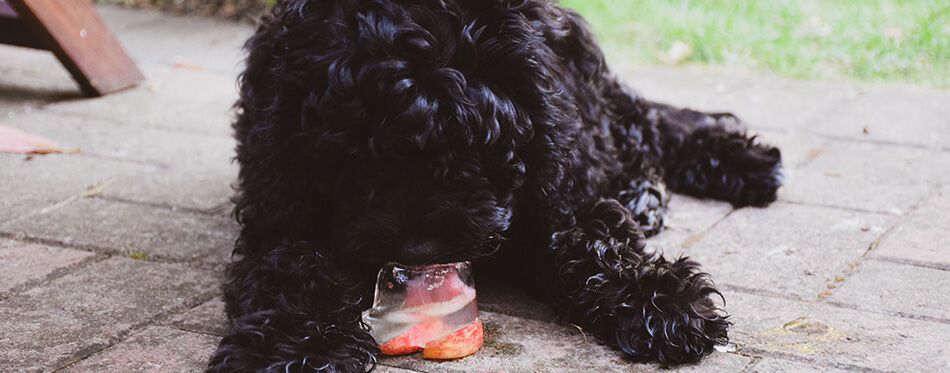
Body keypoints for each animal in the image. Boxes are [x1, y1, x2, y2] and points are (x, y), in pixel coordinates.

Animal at [212, 0, 784, 370]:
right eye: (352, 153)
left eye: (475, 148)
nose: (417, 251)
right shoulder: (281, 200)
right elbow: (289, 268)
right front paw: (296, 345)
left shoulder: (556, 181)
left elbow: (592, 235)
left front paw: (658, 298)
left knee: (645, 124)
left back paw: (740, 164)